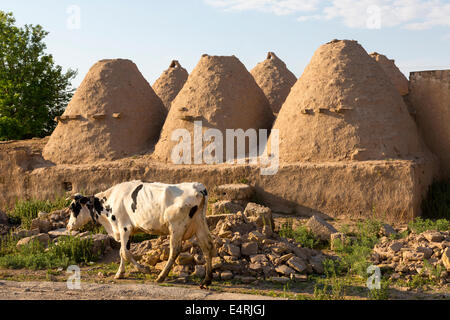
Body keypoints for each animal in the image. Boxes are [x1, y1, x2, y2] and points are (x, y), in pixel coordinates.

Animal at [66, 179, 215, 286]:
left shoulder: (124, 228)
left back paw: (161, 277)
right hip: (200, 223)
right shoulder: (128, 231)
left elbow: (125, 253)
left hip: (176, 227)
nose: (68, 226)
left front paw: (144, 269)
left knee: (175, 250)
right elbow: (122, 252)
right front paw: (120, 273)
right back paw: (207, 280)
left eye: (73, 207)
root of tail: (199, 187)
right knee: (207, 246)